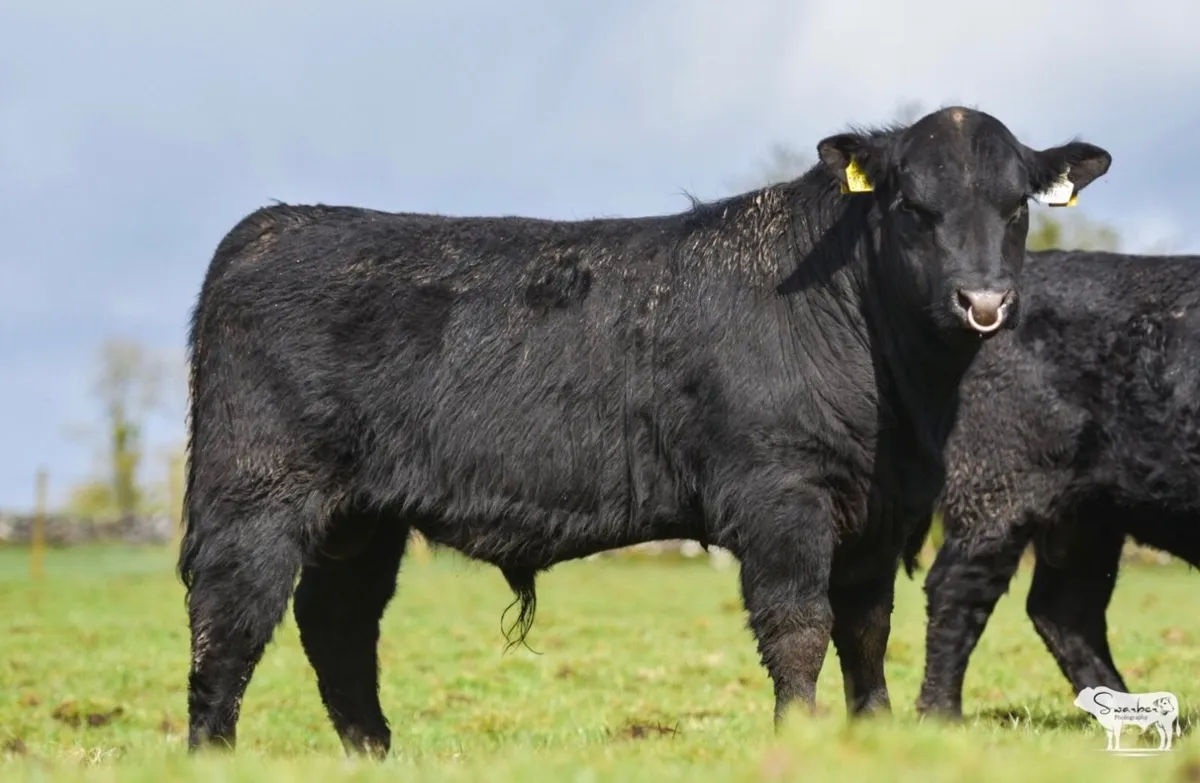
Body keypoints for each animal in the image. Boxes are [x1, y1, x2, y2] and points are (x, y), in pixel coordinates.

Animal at [177, 106, 1111, 757]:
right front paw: (803, 736)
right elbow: (800, 624)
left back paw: (375, 753)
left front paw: (874, 733)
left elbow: (867, 626)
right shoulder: (781, 495)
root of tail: (273, 224)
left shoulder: (878, 509)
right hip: (256, 488)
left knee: (338, 621)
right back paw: (215, 753)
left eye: (1017, 207)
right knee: (231, 614)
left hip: (361, 514)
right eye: (913, 206)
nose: (983, 300)